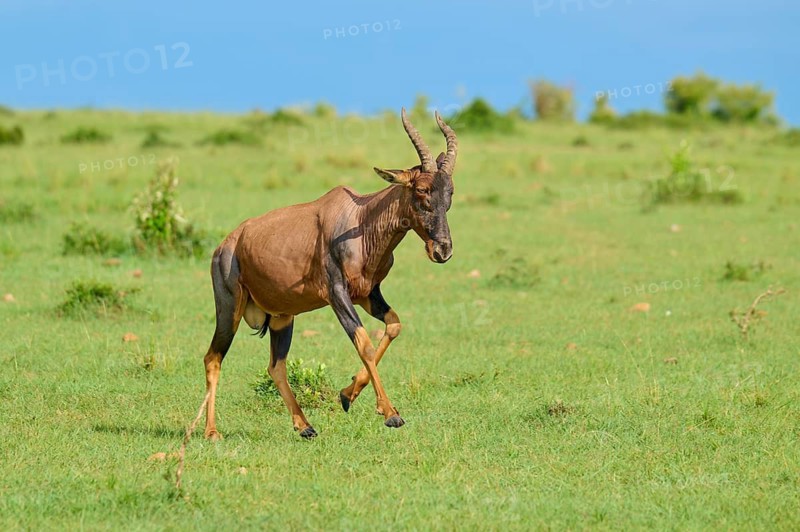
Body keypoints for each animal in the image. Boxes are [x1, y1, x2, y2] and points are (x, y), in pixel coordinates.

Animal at [202, 109, 458, 439]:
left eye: (450, 192)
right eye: (422, 190)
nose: (442, 250)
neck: (360, 219)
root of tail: (226, 244)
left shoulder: (368, 294)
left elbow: (393, 326)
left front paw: (348, 395)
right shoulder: (337, 294)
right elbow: (363, 342)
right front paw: (391, 414)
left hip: (283, 317)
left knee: (276, 365)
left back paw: (305, 426)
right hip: (229, 308)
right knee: (213, 358)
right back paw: (211, 432)